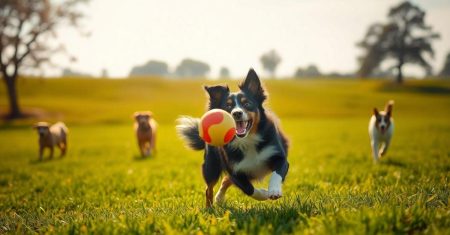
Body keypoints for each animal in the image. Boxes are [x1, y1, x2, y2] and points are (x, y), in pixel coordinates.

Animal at [176, 69, 288, 207]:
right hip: (211, 166)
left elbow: (277, 173)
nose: (237, 113)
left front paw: (274, 190)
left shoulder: (279, 156)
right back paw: (210, 207)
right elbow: (248, 189)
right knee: (209, 188)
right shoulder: (235, 170)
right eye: (228, 106)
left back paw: (219, 198)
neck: (248, 139)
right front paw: (263, 193)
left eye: (247, 103)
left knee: (224, 180)